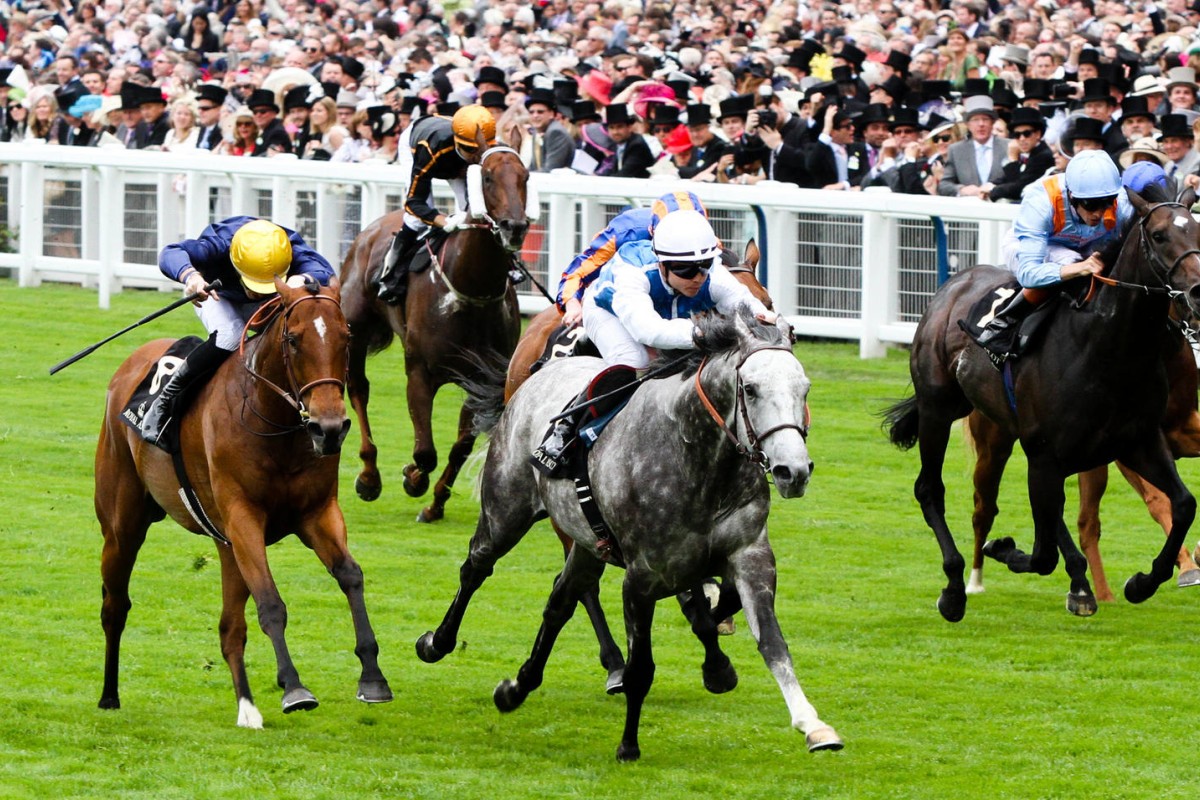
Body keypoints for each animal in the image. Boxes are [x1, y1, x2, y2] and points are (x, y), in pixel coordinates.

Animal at [97, 278, 393, 729]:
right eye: (293, 340)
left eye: (346, 338)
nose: (329, 428)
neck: (276, 425)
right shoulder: (244, 519)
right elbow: (270, 602)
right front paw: (294, 688)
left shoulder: (317, 513)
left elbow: (350, 576)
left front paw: (373, 676)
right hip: (122, 527)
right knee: (115, 606)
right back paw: (109, 695)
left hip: (223, 545)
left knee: (230, 628)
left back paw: (247, 707)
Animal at [336, 142, 528, 525]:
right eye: (488, 177)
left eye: (525, 176)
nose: (514, 227)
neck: (471, 291)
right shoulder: (419, 371)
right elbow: (425, 451)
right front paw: (412, 478)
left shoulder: (482, 380)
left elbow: (460, 447)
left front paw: (435, 504)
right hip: (355, 328)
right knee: (359, 389)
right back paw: (369, 477)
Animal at [417, 309, 840, 762]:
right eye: (751, 388)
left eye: (804, 388)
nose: (793, 471)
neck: (698, 459)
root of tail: (538, 373)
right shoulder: (641, 579)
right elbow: (642, 668)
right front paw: (628, 745)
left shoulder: (750, 556)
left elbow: (771, 643)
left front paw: (813, 725)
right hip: (506, 511)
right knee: (476, 568)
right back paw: (437, 642)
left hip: (586, 543)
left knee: (561, 600)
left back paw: (517, 687)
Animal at [883, 189, 1200, 623]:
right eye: (1159, 235)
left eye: (1198, 229)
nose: (1198, 290)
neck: (1108, 347)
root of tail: (955, 282)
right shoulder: (1049, 453)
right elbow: (1043, 554)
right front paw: (1001, 549)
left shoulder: (1138, 441)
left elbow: (1183, 504)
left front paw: (1142, 583)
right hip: (942, 412)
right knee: (934, 490)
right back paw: (956, 589)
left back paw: (1080, 585)